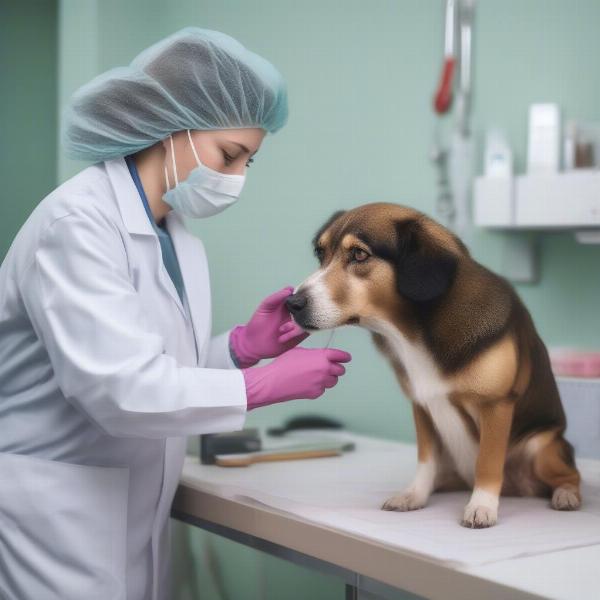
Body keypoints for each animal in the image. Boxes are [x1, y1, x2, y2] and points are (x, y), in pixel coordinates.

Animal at [288, 204, 580, 528]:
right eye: (321, 252)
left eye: (360, 255)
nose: (292, 303)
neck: (415, 333)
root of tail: (518, 489)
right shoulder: (423, 406)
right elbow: (426, 461)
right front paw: (415, 495)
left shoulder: (497, 405)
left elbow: (488, 463)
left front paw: (482, 506)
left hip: (542, 447)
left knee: (571, 476)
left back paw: (565, 495)